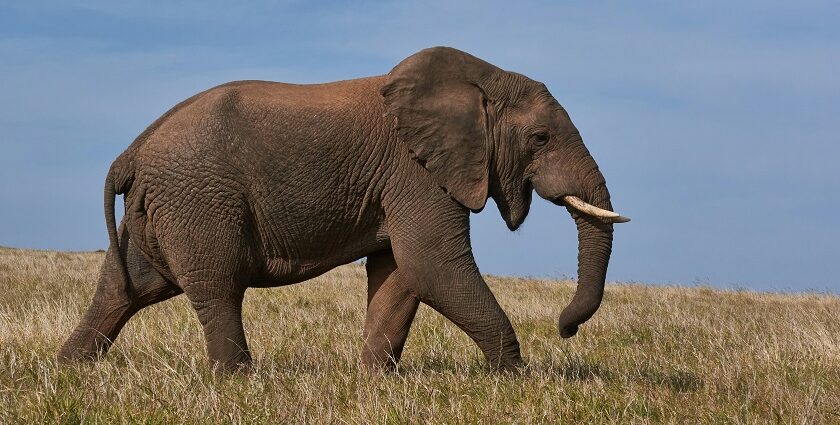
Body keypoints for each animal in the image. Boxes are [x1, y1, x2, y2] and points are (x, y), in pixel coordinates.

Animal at [59, 47, 632, 372]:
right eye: (540, 138)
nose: (565, 328)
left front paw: (374, 381)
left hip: (160, 208)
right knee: (216, 288)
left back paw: (71, 370)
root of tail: (133, 150)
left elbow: (400, 274)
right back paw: (238, 381)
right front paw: (513, 379)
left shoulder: (403, 180)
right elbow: (433, 266)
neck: (479, 79)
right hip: (198, 199)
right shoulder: (415, 172)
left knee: (126, 287)